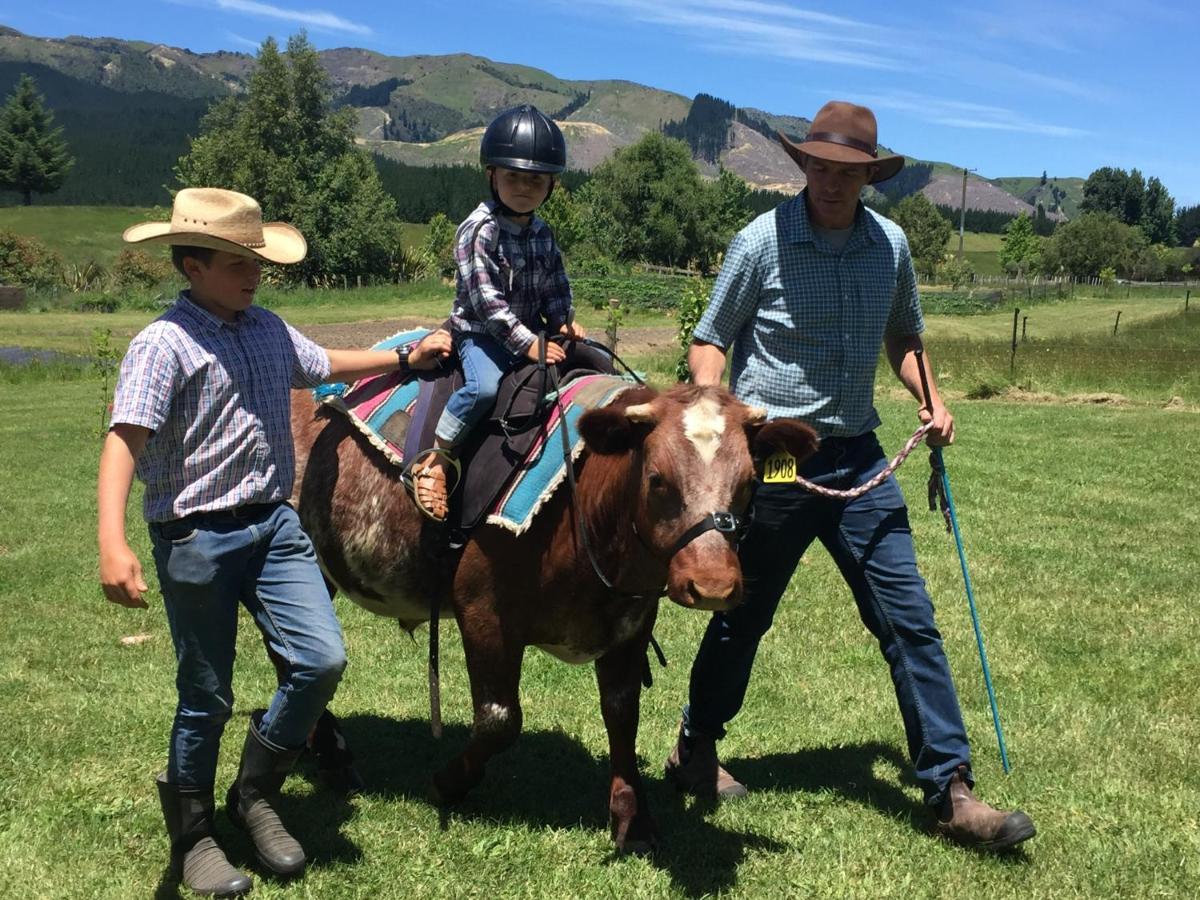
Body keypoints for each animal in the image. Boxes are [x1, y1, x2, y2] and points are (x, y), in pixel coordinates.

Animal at [289, 381, 816, 854]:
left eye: (749, 483)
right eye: (658, 478)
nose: (713, 584)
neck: (584, 518)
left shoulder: (631, 626)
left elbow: (622, 714)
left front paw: (632, 816)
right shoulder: (484, 614)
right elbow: (500, 719)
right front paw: (447, 782)